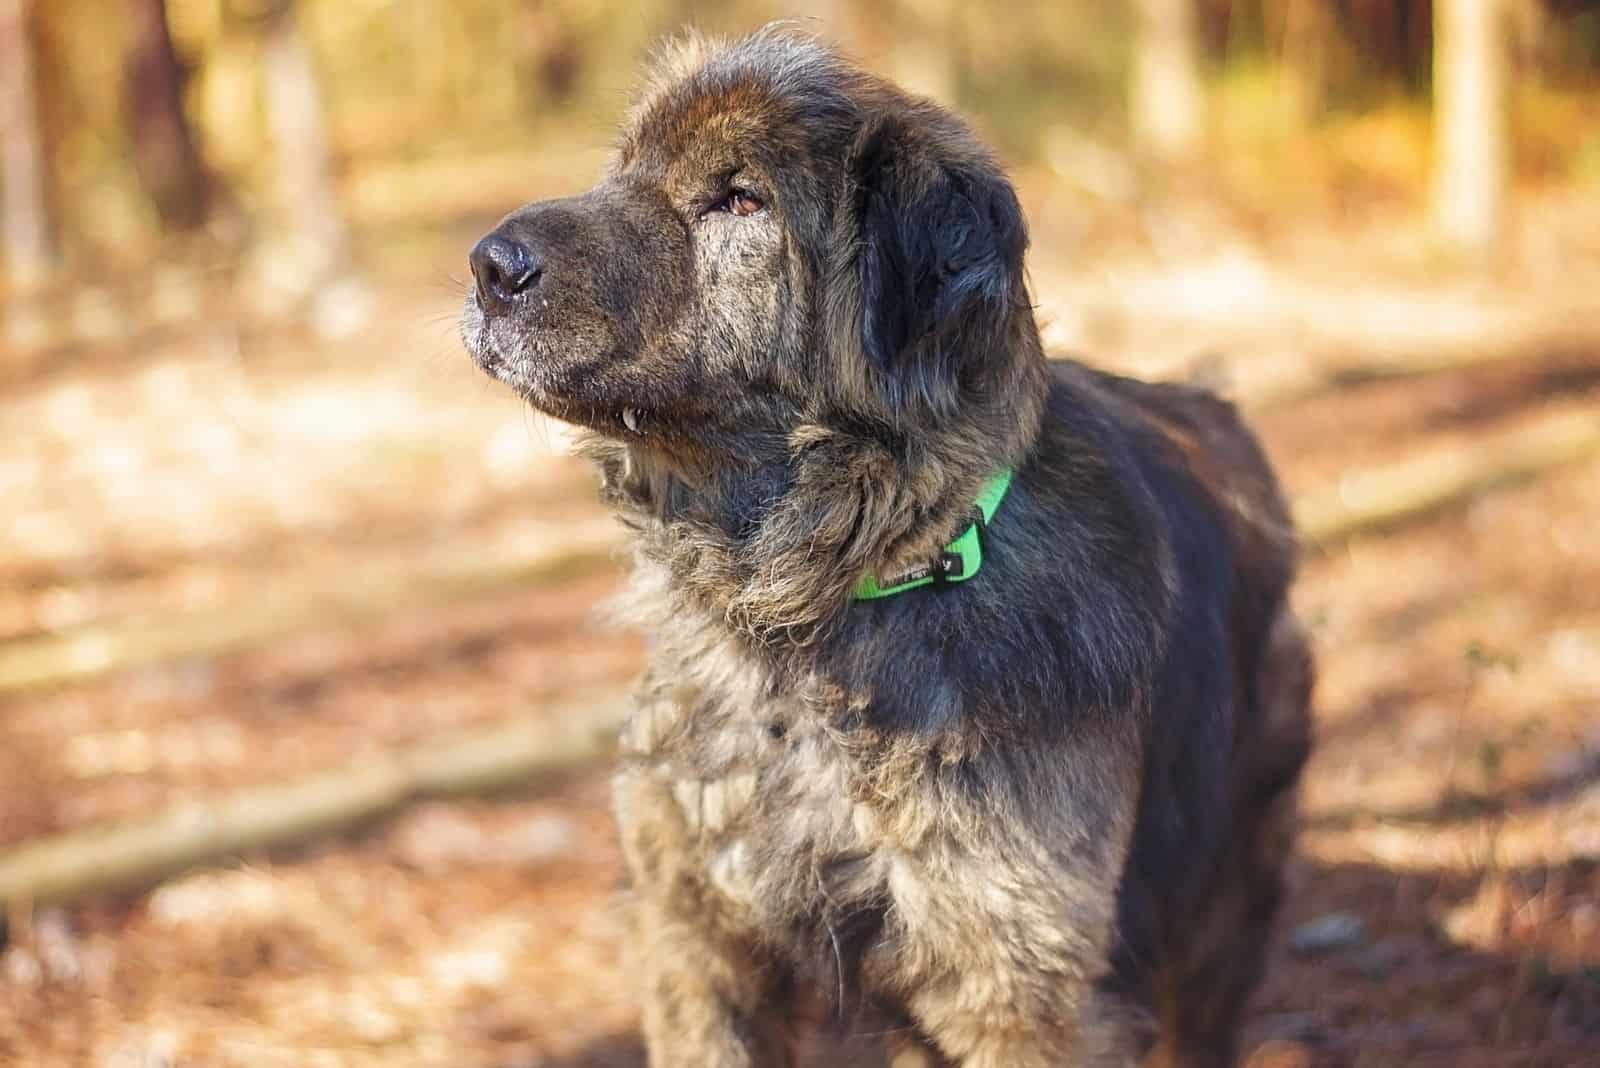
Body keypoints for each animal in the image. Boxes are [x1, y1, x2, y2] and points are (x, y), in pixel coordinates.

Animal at [460, 24, 1312, 1068]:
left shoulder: (1019, 986)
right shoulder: (693, 936)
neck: (812, 619)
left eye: (740, 200)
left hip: (1225, 879)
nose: (489, 266)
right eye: (624, 171)